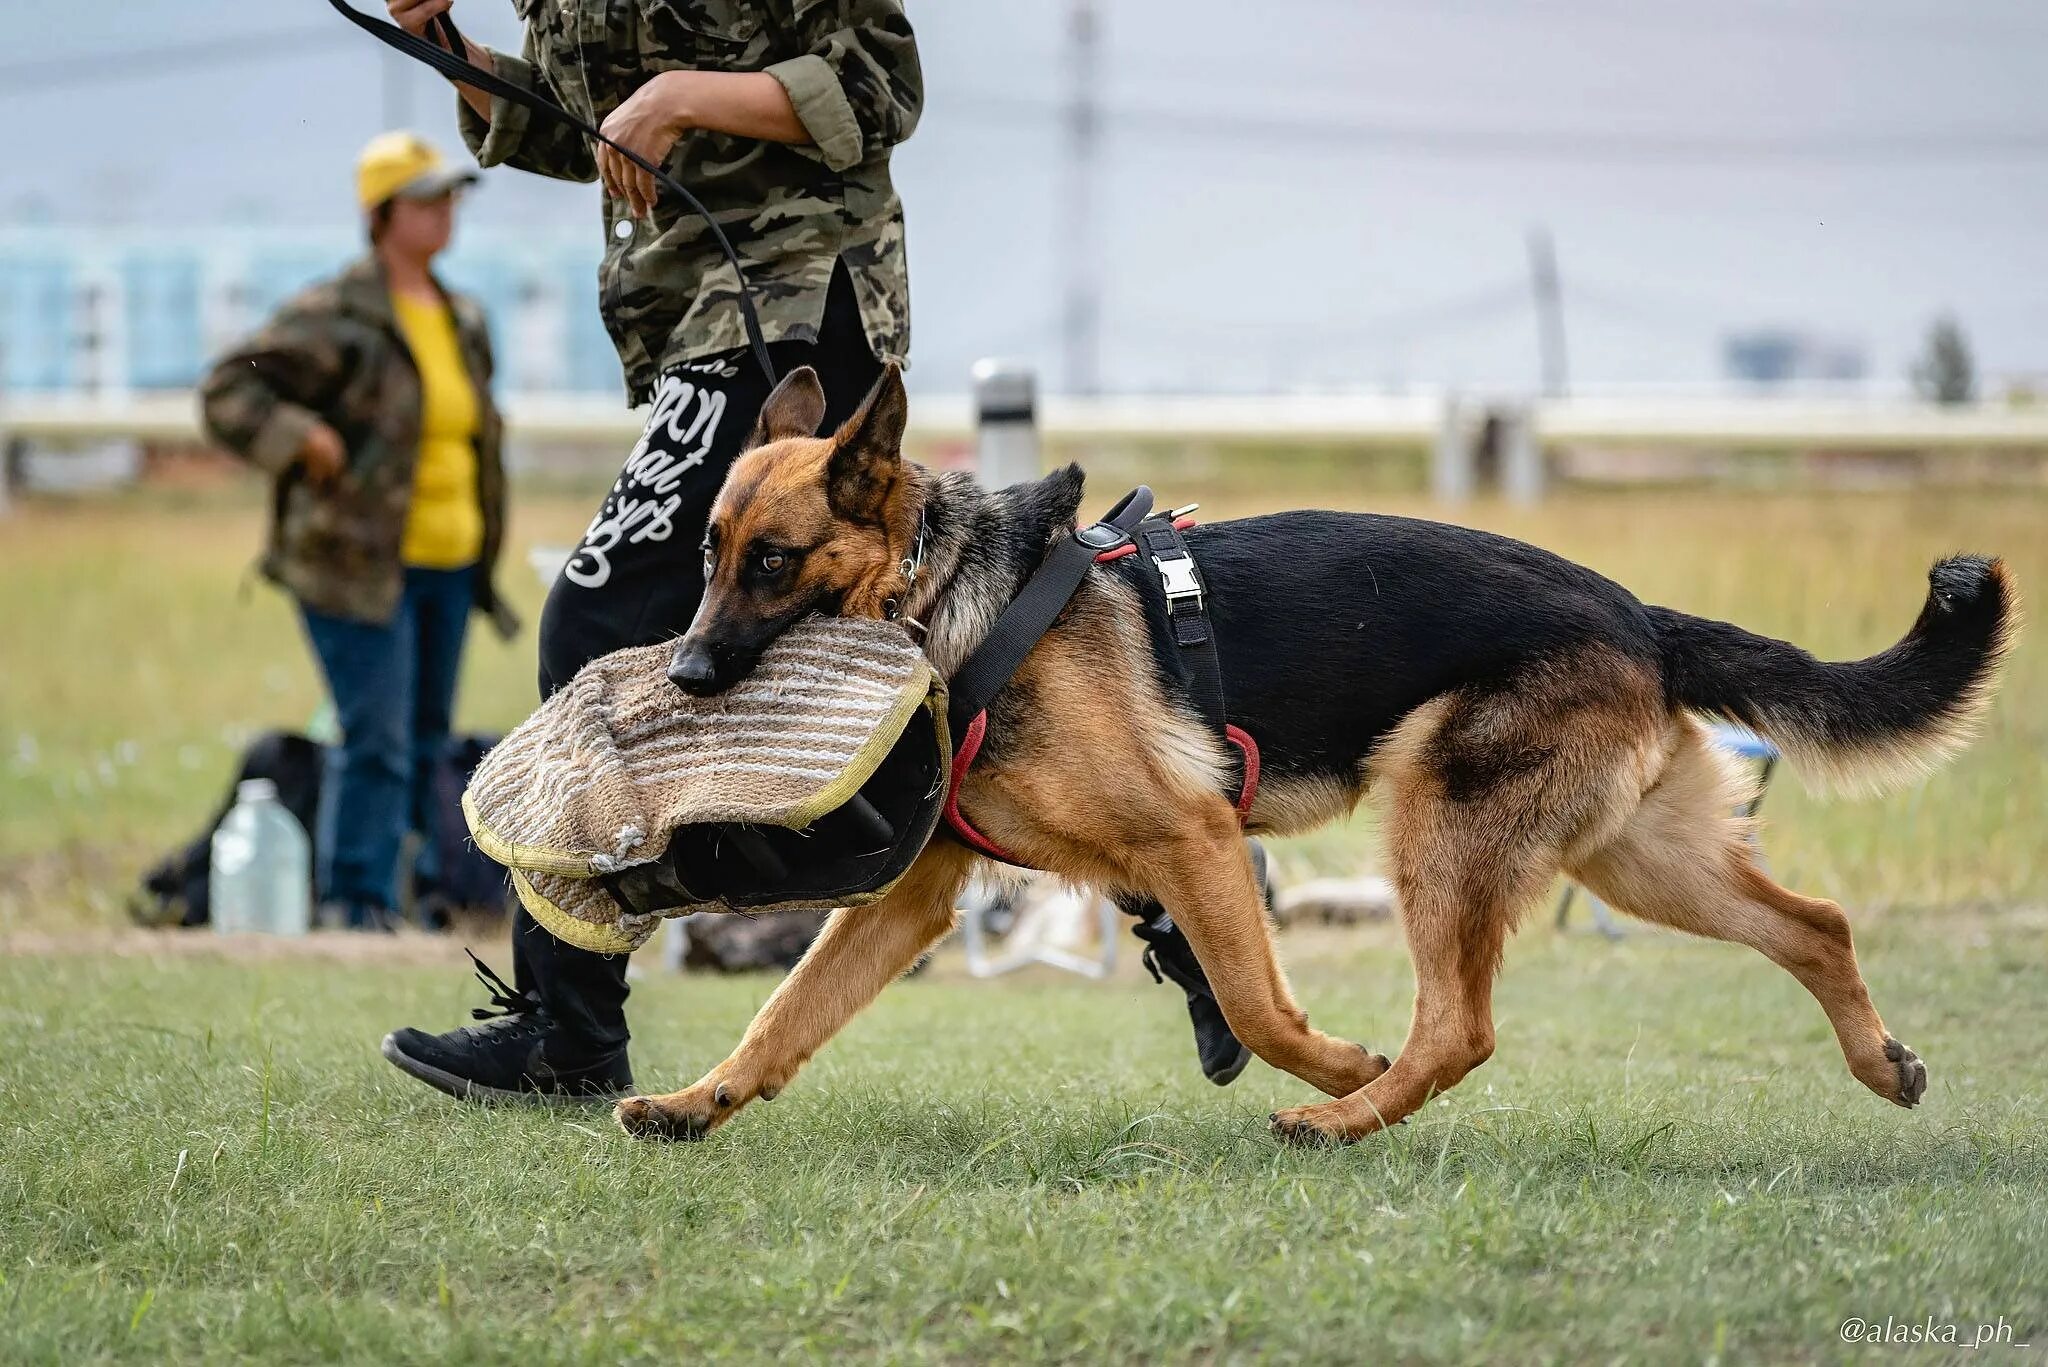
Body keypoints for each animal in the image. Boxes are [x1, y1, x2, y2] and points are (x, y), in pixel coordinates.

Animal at [614, 362, 2023, 1147]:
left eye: (774, 562)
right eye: (706, 555)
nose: (683, 678)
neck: (953, 592)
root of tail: (1635, 610)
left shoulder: (1191, 841)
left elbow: (1246, 1001)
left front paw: (1335, 1061)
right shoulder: (912, 897)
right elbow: (785, 1012)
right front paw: (695, 1103)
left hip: (1438, 831)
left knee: (1457, 1026)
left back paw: (1344, 1114)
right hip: (1634, 857)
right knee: (1815, 923)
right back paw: (1879, 1062)